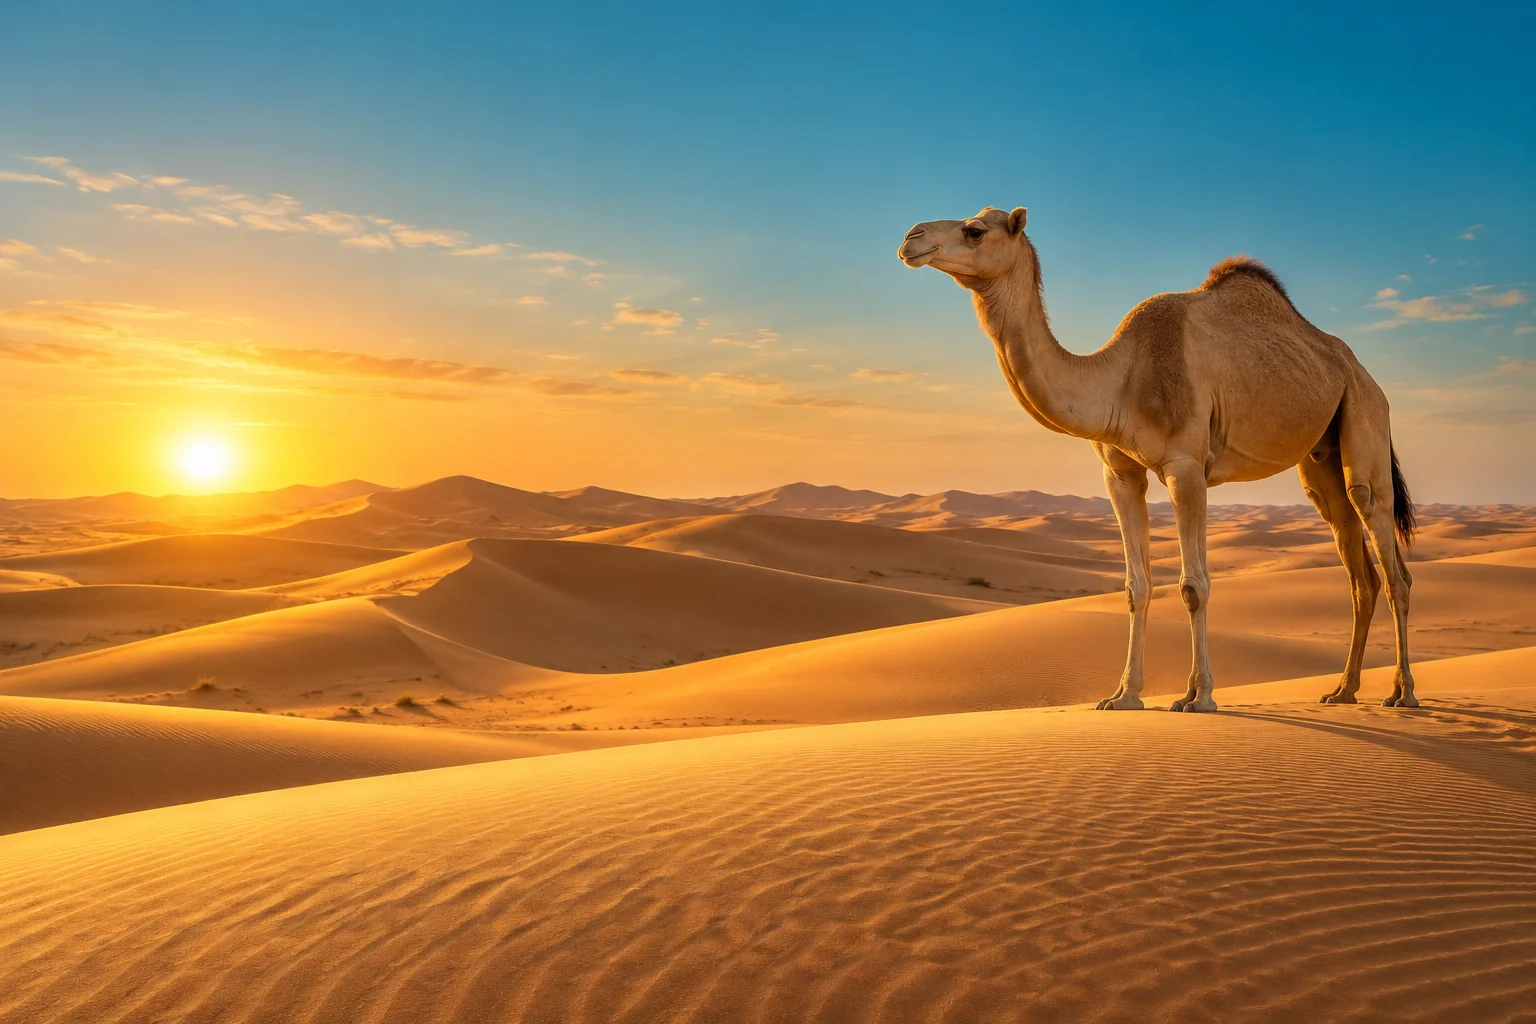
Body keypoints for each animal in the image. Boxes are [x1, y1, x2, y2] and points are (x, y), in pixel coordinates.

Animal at [898, 206, 1417, 712]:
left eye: (974, 230)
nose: (911, 237)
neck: (1120, 381)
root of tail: (1365, 374)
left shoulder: (1186, 467)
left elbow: (1194, 586)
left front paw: (1200, 697)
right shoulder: (1120, 473)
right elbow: (1137, 587)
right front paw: (1124, 695)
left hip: (1365, 412)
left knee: (1388, 554)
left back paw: (1402, 692)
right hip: (1321, 456)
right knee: (1357, 568)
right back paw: (1342, 691)